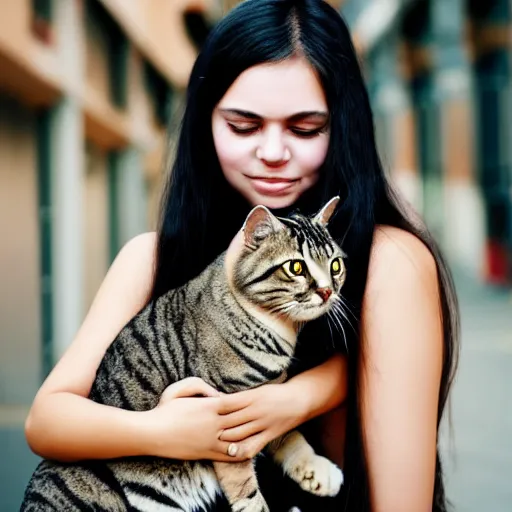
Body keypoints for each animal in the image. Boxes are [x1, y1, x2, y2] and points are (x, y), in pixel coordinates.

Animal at [22, 197, 346, 512]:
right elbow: (246, 488)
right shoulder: (231, 420)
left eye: (335, 266)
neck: (279, 327)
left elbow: (289, 434)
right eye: (296, 268)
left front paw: (318, 470)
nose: (327, 291)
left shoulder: (266, 400)